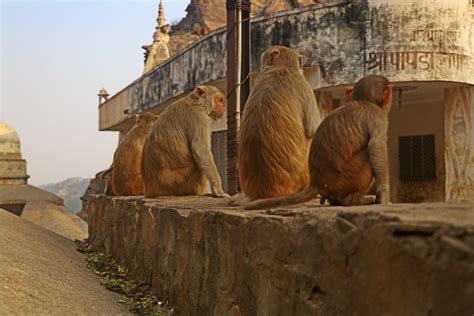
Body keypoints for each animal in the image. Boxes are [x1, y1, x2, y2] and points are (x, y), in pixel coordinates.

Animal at [244, 74, 392, 210]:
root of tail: (317, 183)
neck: (364, 101)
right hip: (346, 178)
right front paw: (383, 198)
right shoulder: (378, 118)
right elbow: (376, 149)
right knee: (367, 155)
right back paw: (352, 201)